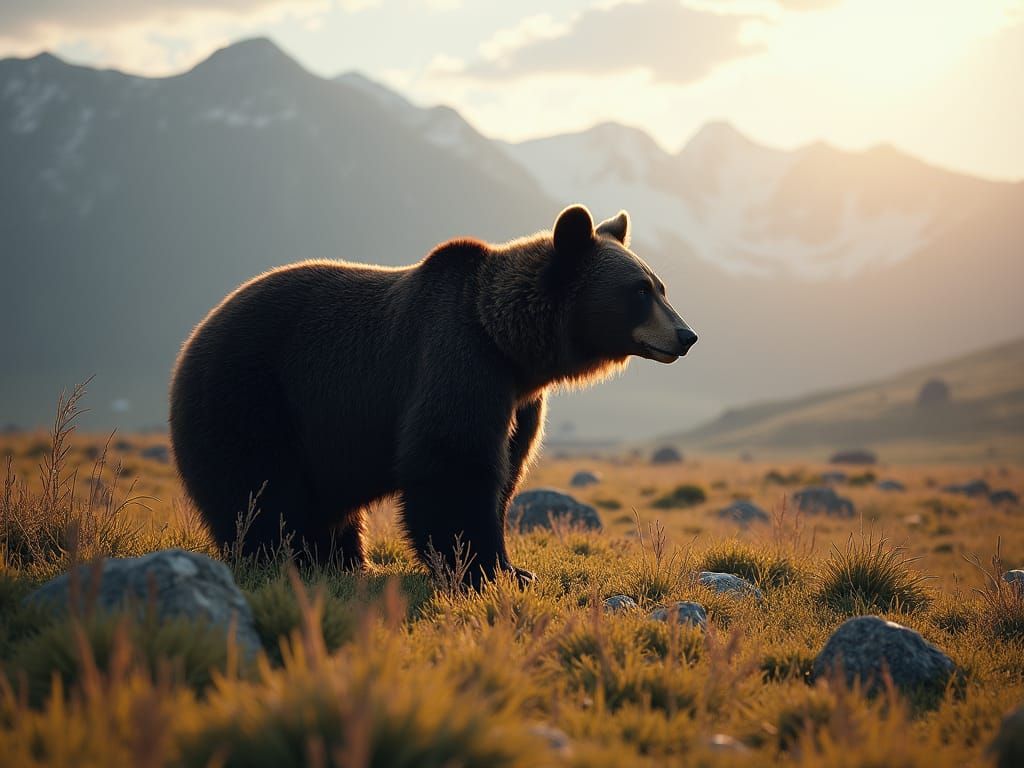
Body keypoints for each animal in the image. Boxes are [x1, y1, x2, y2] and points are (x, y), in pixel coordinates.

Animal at [169, 205, 697, 585]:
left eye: (661, 286)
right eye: (640, 291)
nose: (686, 335)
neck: (510, 345)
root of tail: (194, 337)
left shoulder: (519, 401)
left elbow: (505, 469)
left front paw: (513, 566)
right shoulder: (457, 357)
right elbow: (453, 462)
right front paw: (487, 569)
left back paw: (340, 558)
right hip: (253, 394)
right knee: (258, 487)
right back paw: (285, 554)